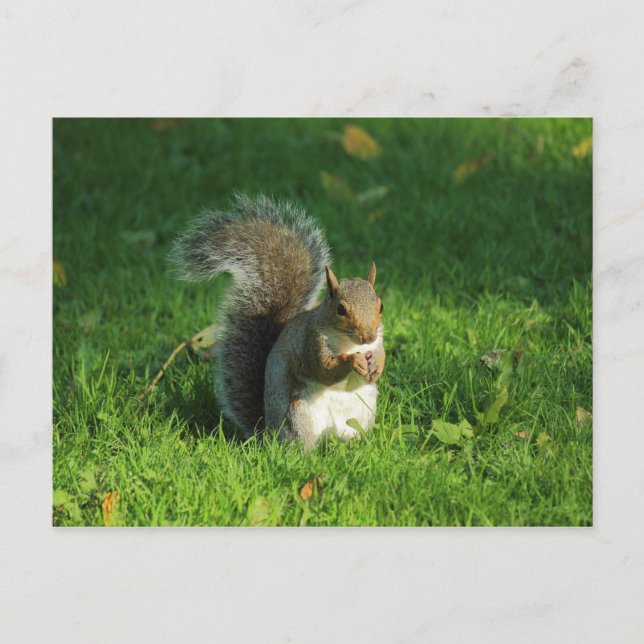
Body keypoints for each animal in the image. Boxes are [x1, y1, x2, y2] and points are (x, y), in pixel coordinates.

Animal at [169, 194, 385, 448]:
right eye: (340, 309)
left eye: (380, 306)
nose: (368, 336)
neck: (350, 343)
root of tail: (269, 434)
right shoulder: (310, 343)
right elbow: (324, 369)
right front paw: (353, 362)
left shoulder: (378, 341)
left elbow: (380, 355)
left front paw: (377, 365)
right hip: (299, 415)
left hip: (363, 412)